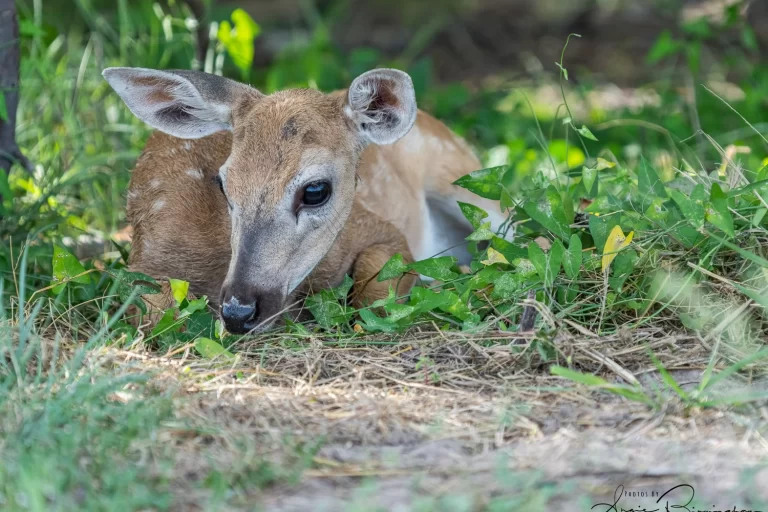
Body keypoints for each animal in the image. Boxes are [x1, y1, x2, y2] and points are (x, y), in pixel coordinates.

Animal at [103, 67, 509, 334]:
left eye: (316, 190)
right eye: (223, 183)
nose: (238, 311)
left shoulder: (379, 230)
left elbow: (373, 296)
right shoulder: (145, 263)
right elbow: (155, 315)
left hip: (466, 181)